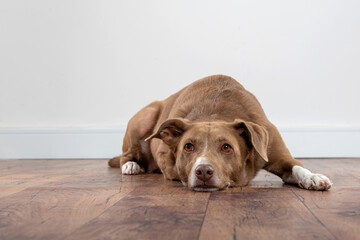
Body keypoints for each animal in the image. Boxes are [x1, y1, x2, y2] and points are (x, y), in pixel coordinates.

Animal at [109, 75, 332, 191]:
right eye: (188, 146)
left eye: (226, 147)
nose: (203, 171)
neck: (216, 113)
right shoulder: (166, 157)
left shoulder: (276, 151)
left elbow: (297, 167)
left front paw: (313, 177)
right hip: (145, 117)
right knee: (127, 154)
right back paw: (131, 165)